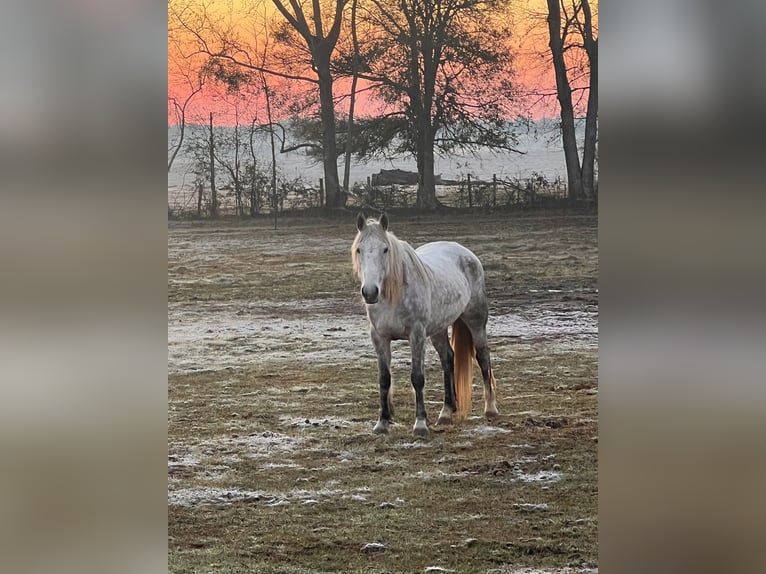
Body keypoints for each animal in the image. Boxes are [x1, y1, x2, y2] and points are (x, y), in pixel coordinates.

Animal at [351, 212, 498, 436]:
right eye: (359, 249)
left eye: (385, 249)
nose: (369, 292)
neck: (393, 295)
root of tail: (465, 252)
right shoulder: (379, 337)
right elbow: (384, 379)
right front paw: (382, 423)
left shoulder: (417, 335)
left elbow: (417, 377)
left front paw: (420, 424)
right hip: (438, 329)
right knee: (448, 359)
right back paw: (446, 412)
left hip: (476, 322)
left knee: (482, 357)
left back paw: (490, 409)